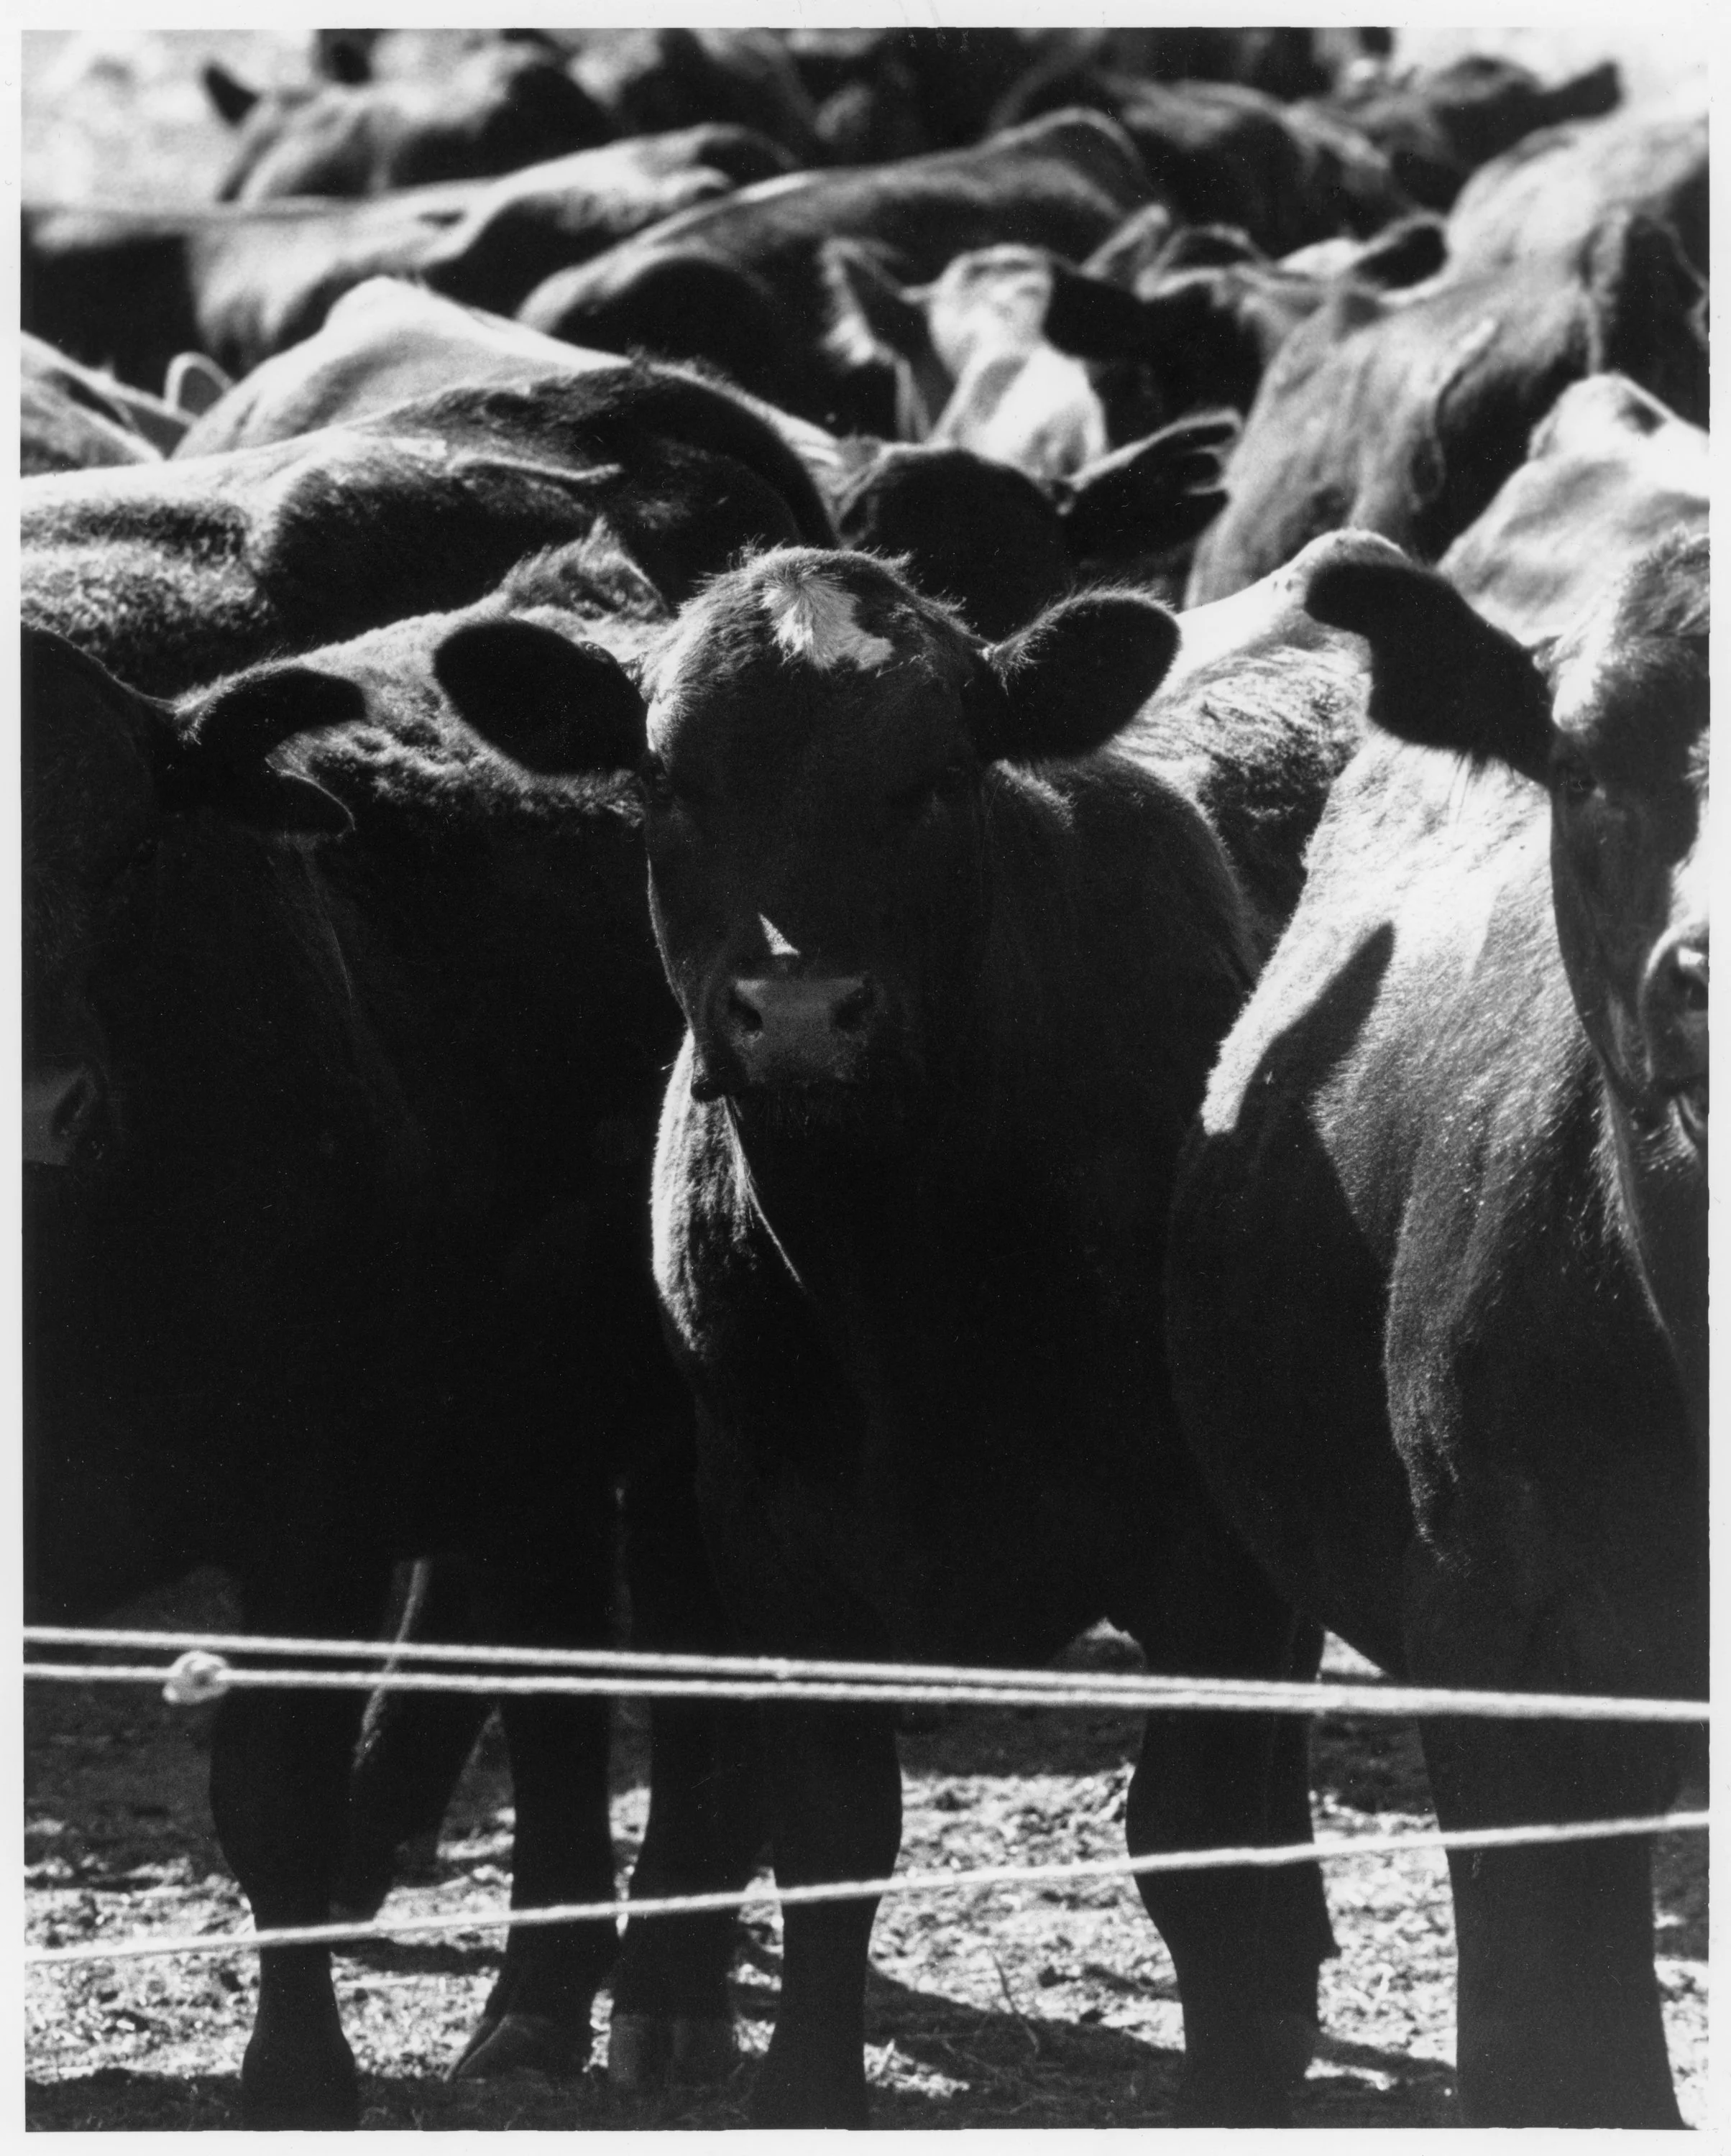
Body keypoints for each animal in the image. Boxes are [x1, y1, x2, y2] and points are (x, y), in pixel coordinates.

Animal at [434, 544, 1339, 2127]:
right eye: (667, 779)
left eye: (932, 777)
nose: (798, 1011)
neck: (914, 1284)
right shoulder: (772, 1532)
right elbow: (830, 1831)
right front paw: (804, 2087)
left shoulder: (1206, 1550)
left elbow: (1196, 1845)